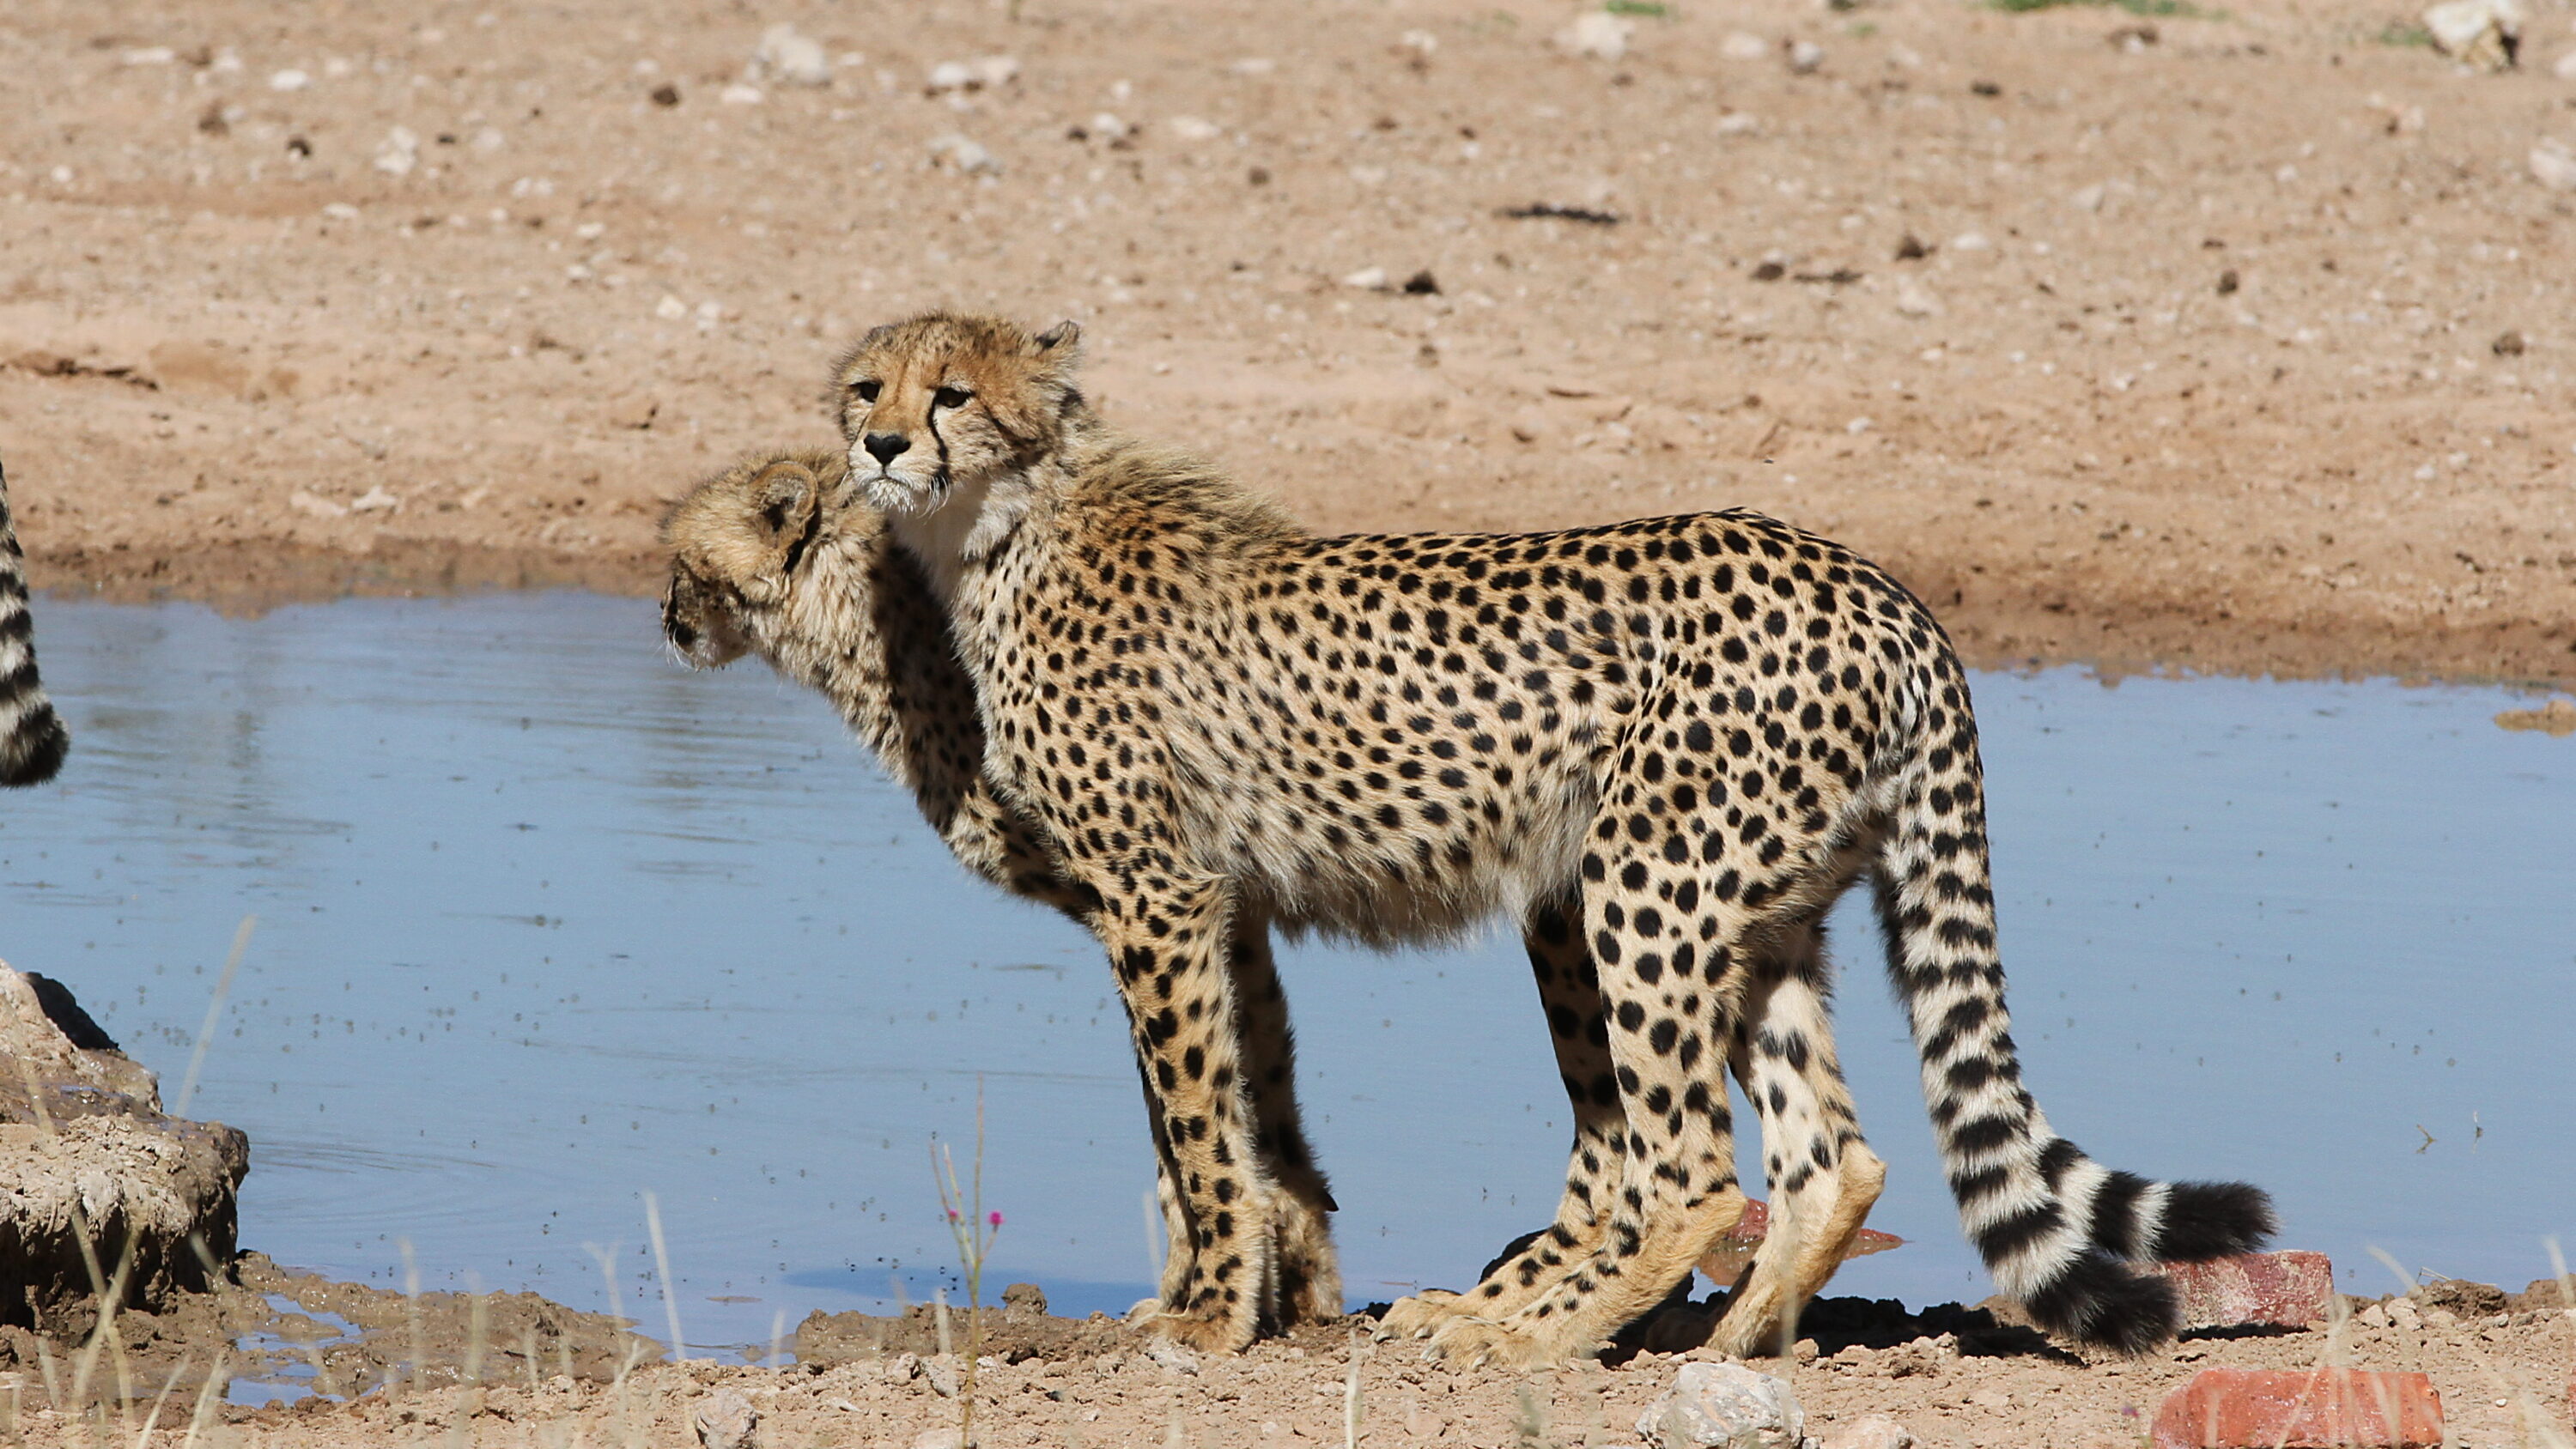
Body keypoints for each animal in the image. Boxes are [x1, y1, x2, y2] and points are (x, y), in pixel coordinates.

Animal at [819, 310, 2275, 1365]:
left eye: (952, 395)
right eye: (866, 386)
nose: (880, 446)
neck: (1000, 527)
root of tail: (1880, 586)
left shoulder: (1160, 894)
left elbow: (1193, 1116)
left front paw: (1204, 1316)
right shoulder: (1218, 902)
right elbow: (1237, 1107)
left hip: (1641, 882)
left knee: (1690, 1170)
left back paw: (1546, 1342)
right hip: (1763, 914)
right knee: (1831, 1152)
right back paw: (1734, 1347)